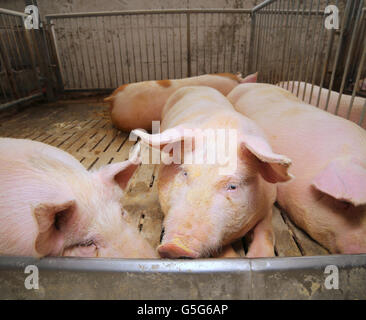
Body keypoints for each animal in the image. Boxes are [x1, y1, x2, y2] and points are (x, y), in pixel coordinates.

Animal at [132, 86, 292, 258]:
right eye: (184, 172)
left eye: (233, 186)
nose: (175, 247)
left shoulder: (269, 203)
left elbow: (266, 230)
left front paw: (258, 256)